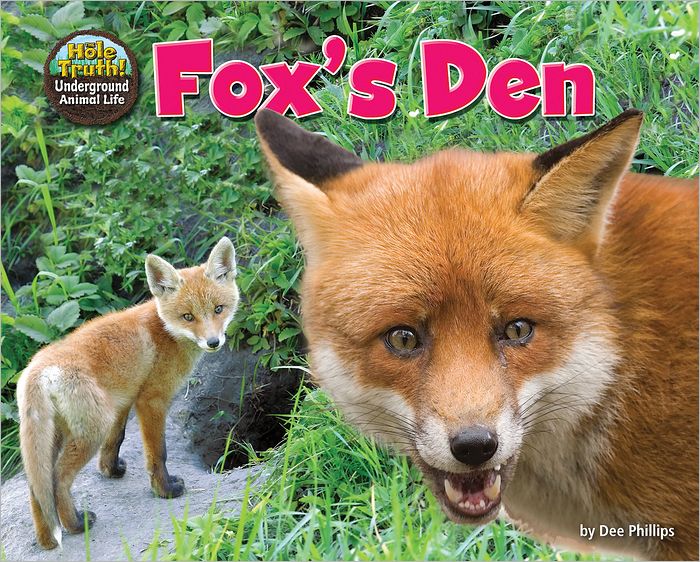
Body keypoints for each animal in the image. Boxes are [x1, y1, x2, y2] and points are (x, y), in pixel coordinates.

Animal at [17, 236, 239, 550]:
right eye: (188, 316)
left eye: (219, 309)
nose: (213, 342)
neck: (166, 331)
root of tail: (37, 367)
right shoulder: (151, 400)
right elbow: (158, 453)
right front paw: (164, 490)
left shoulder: (123, 401)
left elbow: (116, 440)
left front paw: (110, 470)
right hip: (90, 430)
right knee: (58, 480)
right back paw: (75, 525)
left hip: (58, 434)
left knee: (38, 487)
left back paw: (46, 539)